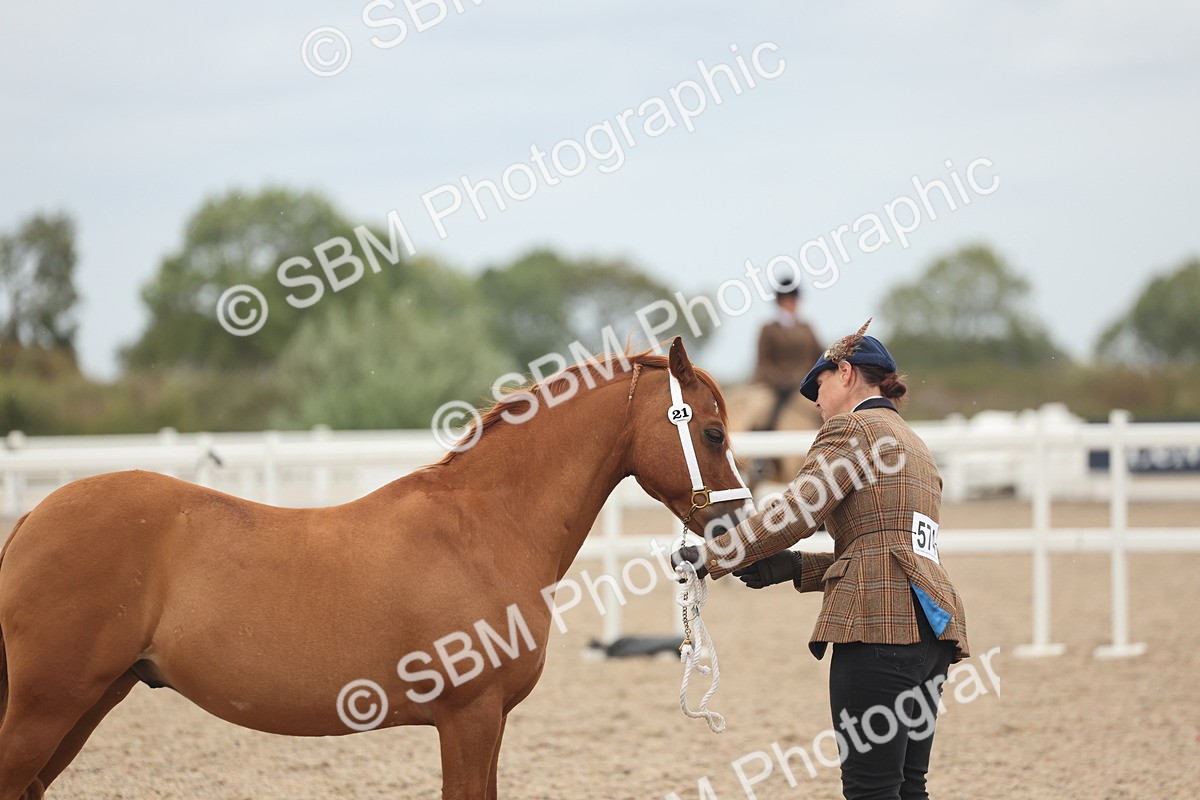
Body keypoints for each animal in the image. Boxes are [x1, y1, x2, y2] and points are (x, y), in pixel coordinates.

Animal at [0, 337, 753, 800]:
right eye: (712, 431)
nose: (734, 525)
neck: (485, 527)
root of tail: (33, 517)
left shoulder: (489, 724)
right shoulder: (469, 720)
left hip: (91, 699)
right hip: (49, 704)